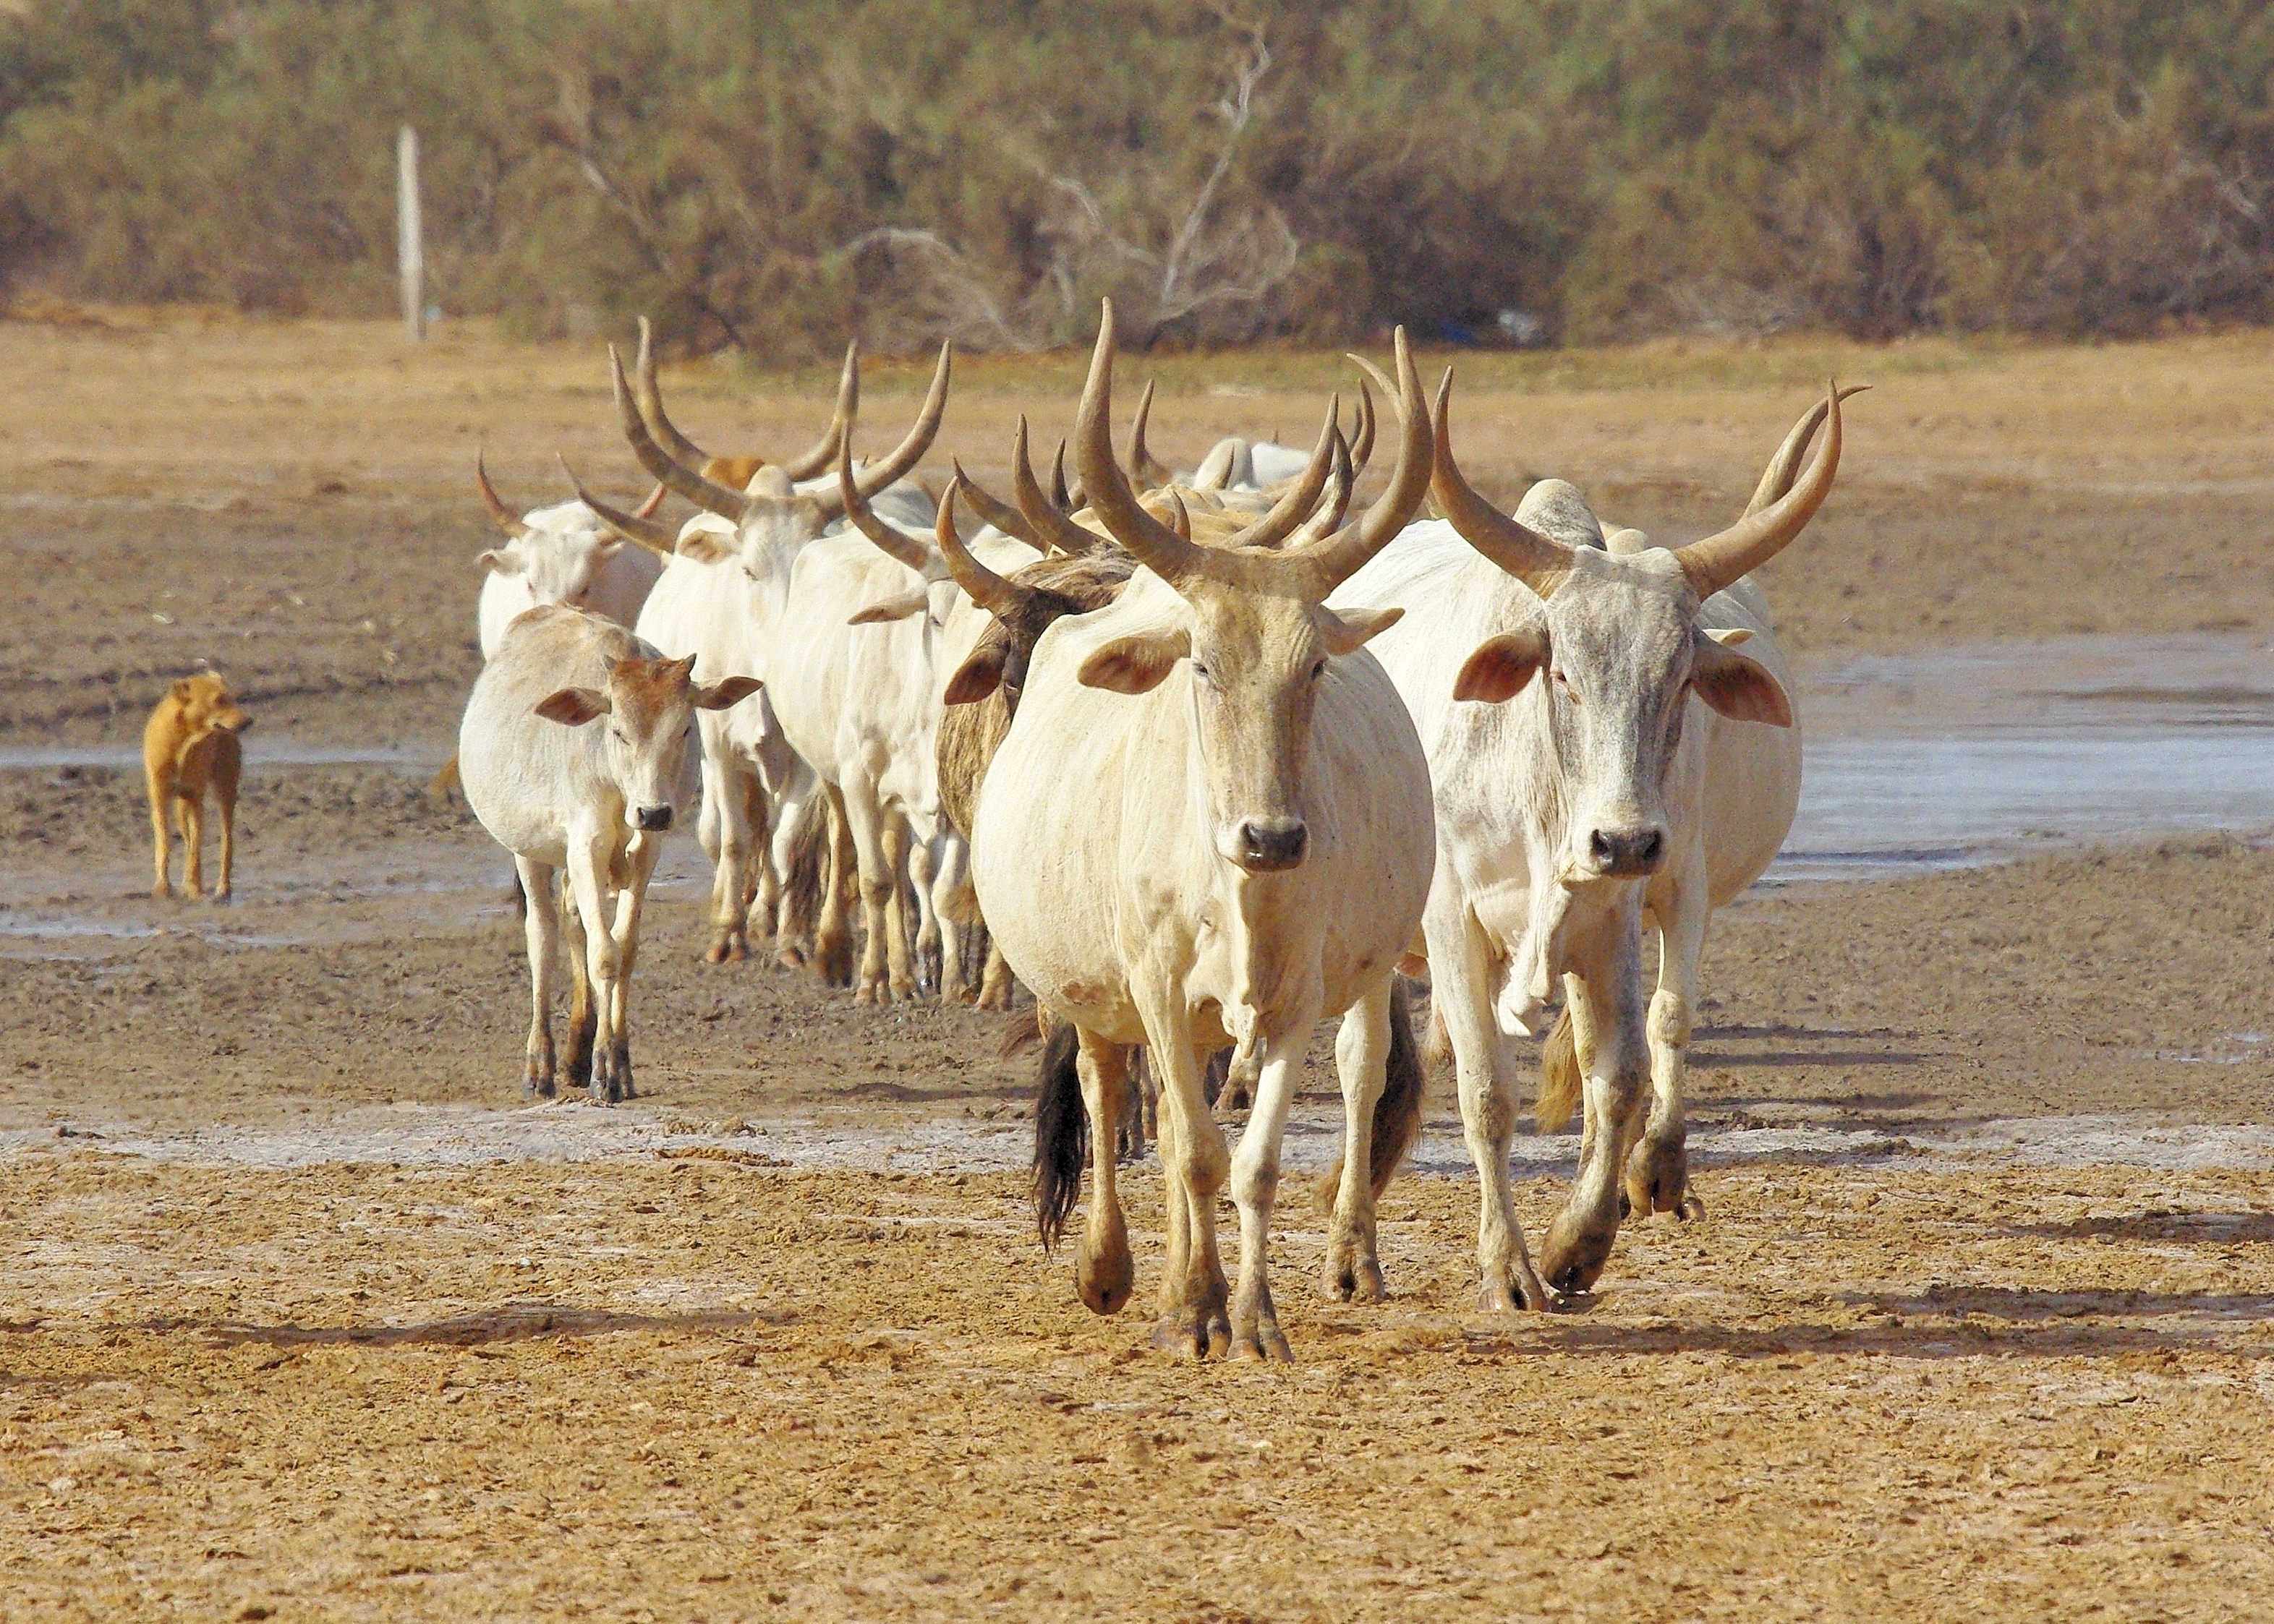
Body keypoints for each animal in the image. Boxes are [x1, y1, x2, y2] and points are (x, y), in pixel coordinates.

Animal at [144, 668, 253, 896]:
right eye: (219, 700)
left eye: (231, 697)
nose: (249, 721)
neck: (181, 743)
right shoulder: (159, 799)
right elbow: (164, 842)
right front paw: (163, 886)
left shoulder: (197, 800)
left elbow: (196, 848)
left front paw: (195, 888)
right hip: (181, 807)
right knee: (186, 840)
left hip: (225, 791)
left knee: (226, 842)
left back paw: (223, 888)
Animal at [461, 600, 764, 1096]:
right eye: (619, 731)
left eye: (684, 730)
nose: (654, 812)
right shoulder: (586, 846)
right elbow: (603, 955)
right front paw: (604, 1072)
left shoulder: (645, 854)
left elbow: (623, 949)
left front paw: (616, 1063)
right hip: (527, 848)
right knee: (542, 935)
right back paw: (540, 1064)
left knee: (573, 924)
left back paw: (575, 1052)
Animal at [977, 304, 1437, 1355]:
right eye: (1200, 662)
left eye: (1315, 665)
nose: (1271, 836)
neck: (1238, 894)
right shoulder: (1150, 982)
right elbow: (1189, 1150)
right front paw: (1191, 1310)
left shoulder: (1293, 1002)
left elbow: (1252, 1162)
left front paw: (1252, 1316)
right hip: (1100, 991)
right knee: (1109, 1092)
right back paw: (1116, 1272)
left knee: (1352, 1075)